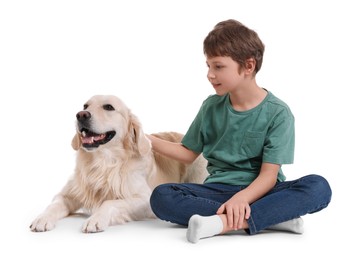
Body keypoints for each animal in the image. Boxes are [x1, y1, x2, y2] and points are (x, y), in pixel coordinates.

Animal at [29, 94, 208, 233]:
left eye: (108, 107)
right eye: (85, 105)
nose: (81, 115)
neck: (104, 163)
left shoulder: (145, 199)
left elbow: (109, 202)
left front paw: (95, 219)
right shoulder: (68, 193)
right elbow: (54, 204)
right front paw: (41, 218)